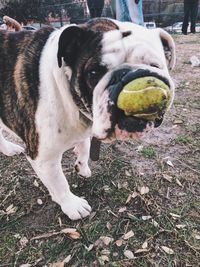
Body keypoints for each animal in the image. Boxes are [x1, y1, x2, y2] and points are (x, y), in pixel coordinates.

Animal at [0, 18, 175, 220]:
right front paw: (72, 205)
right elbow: (59, 183)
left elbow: (84, 146)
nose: (127, 75)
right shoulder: (44, 157)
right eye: (94, 73)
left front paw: (82, 167)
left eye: (155, 66)